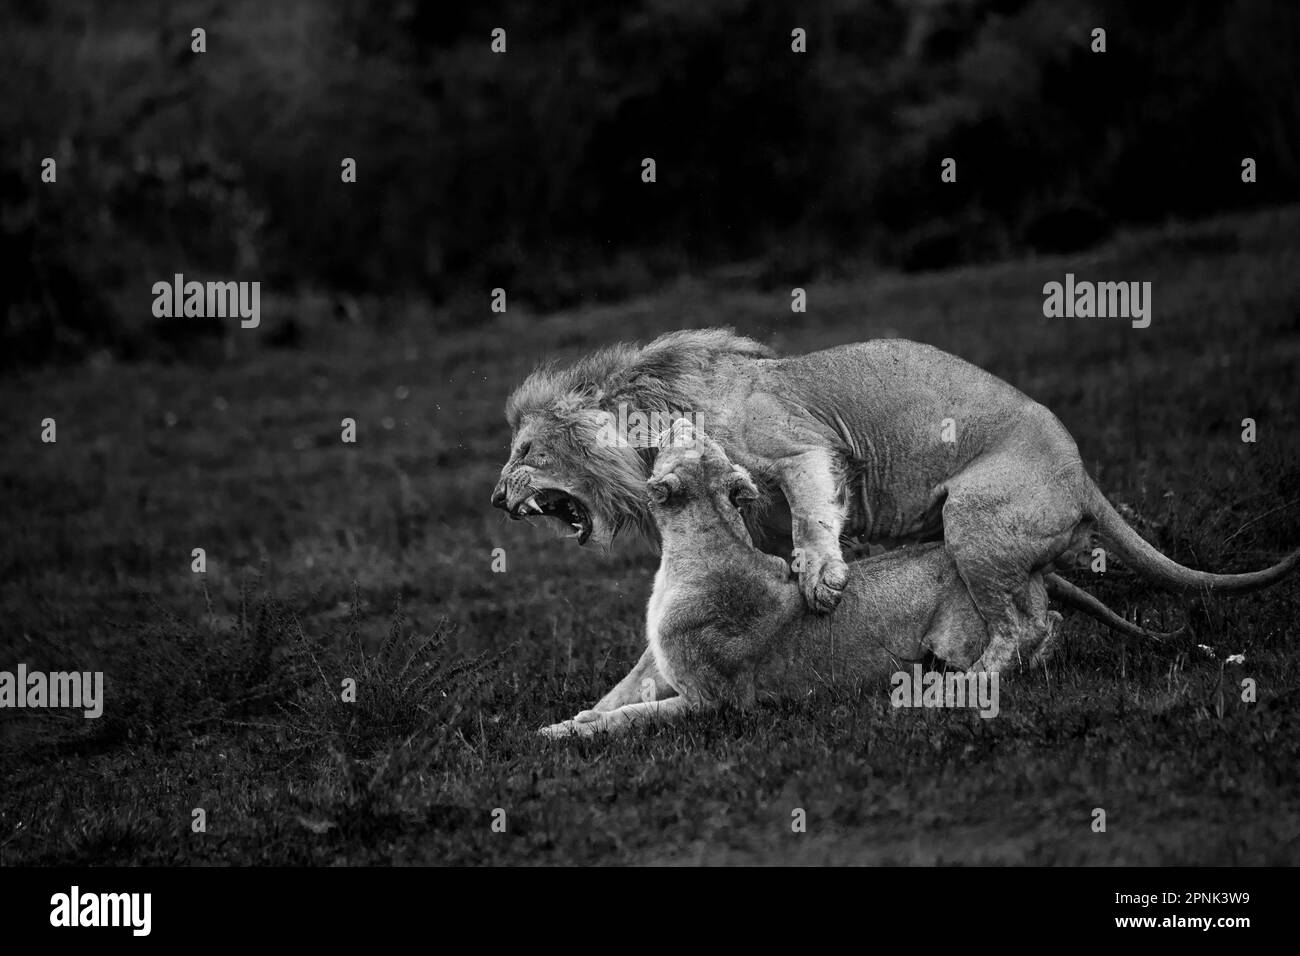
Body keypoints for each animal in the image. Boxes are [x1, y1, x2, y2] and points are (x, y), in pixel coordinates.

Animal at [539, 421, 998, 738]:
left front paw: (570, 731)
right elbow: (617, 695)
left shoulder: (716, 702)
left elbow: (634, 715)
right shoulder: (654, 663)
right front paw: (569, 721)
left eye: (688, 441)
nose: (685, 421)